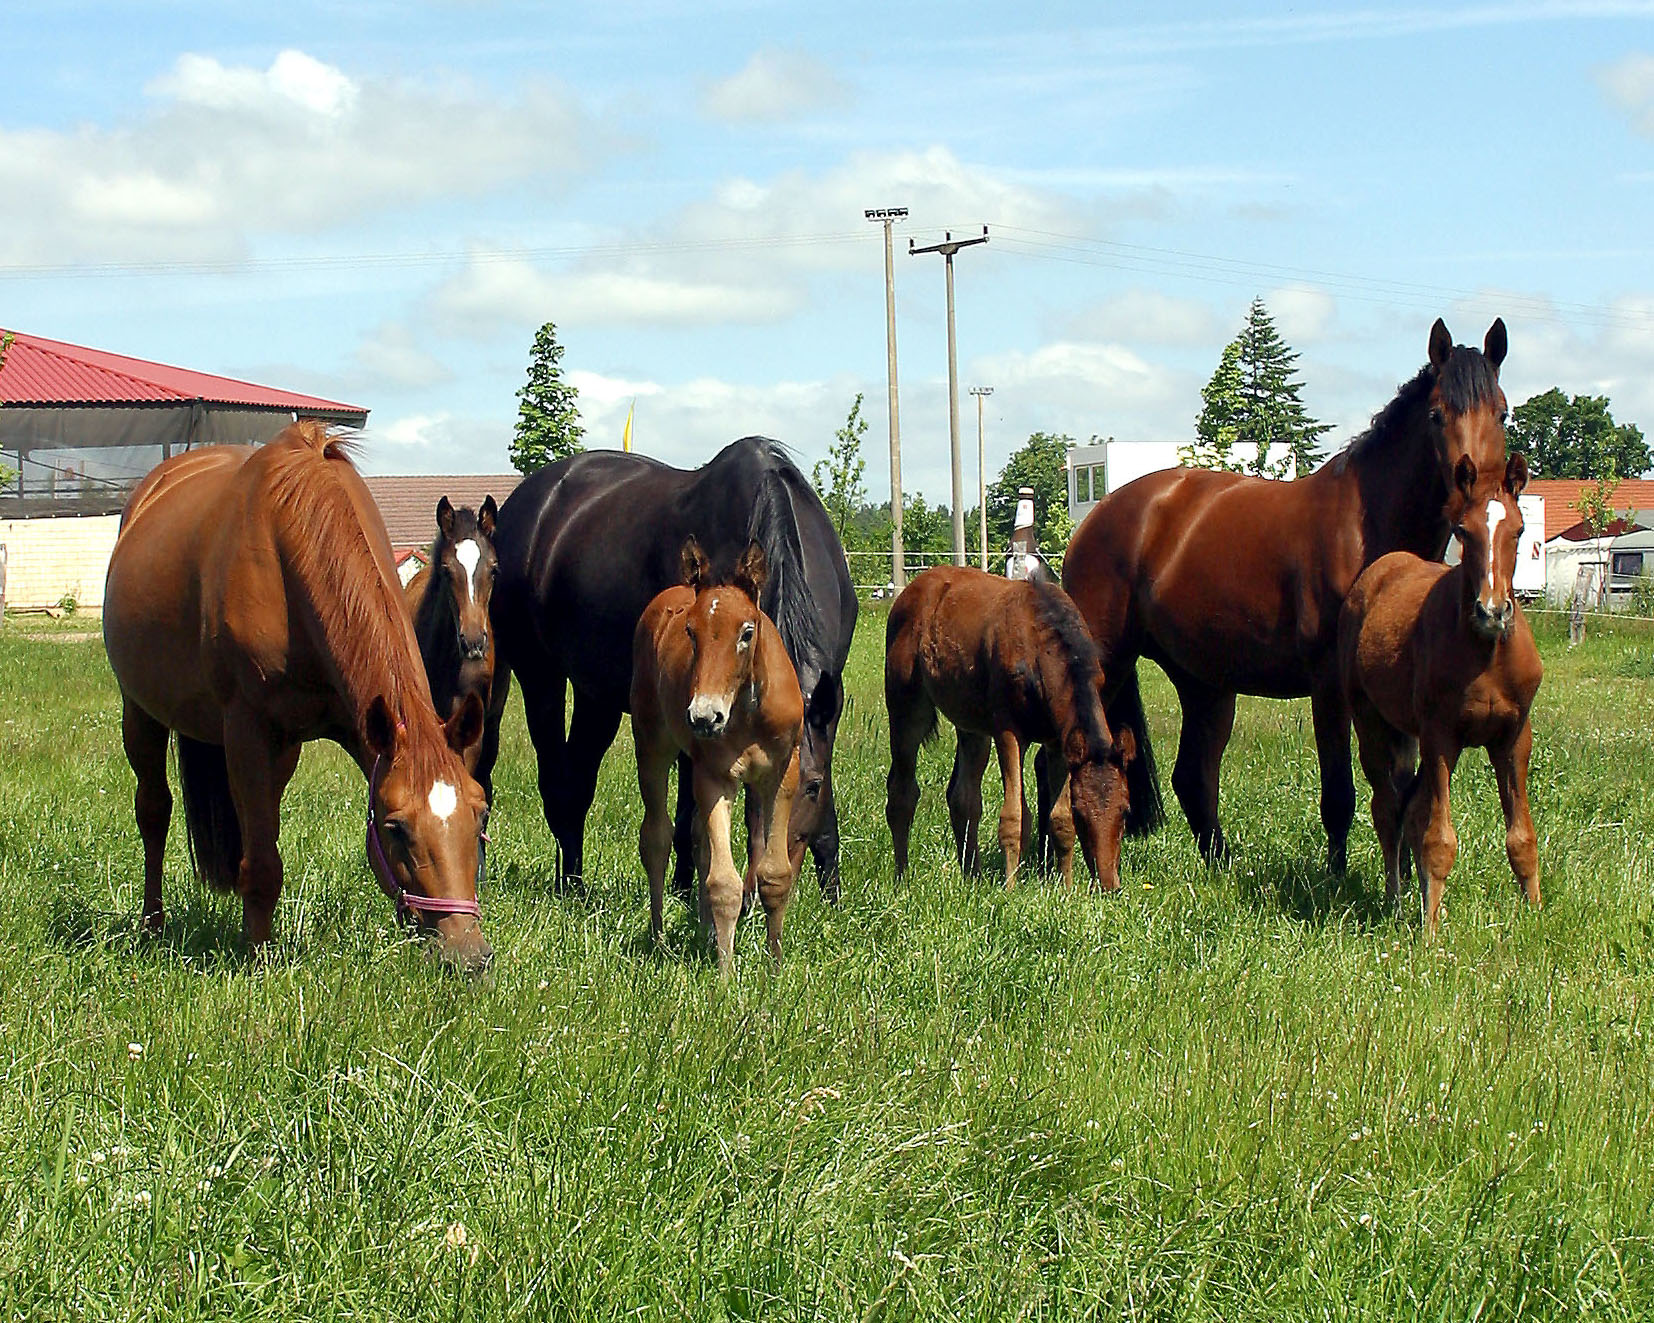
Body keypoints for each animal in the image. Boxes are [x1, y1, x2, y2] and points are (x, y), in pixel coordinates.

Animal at [482, 439, 860, 906]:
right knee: (555, 780)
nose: (762, 891)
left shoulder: (825, 701)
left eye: (810, 786)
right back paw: (567, 887)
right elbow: (692, 813)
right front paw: (687, 891)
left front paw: (834, 897)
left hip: (596, 697)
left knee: (579, 778)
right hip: (540, 677)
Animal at [628, 535, 803, 972]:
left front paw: (775, 966)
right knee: (656, 838)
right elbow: (724, 884)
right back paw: (660, 938)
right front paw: (725, 976)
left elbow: (774, 874)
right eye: (691, 631)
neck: (747, 711)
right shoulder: (715, 776)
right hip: (652, 744)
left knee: (697, 839)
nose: (704, 716)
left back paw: (706, 934)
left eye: (747, 631)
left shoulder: (783, 773)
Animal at [1336, 456, 1541, 932]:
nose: (1492, 610)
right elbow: (1440, 840)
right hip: (1373, 724)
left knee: (1410, 808)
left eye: (1519, 529)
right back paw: (1395, 901)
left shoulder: (1513, 738)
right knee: (1388, 809)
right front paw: (1429, 934)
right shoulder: (1441, 737)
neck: (1487, 654)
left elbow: (1522, 837)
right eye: (1463, 531)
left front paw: (1535, 916)